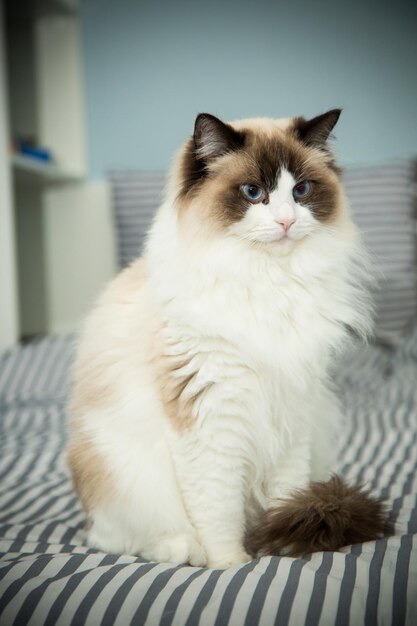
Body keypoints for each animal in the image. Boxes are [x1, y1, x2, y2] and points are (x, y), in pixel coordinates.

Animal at [69, 107, 386, 564]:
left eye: (302, 190)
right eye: (254, 193)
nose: (287, 221)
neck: (268, 281)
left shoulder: (291, 411)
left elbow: (287, 497)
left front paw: (281, 542)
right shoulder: (208, 417)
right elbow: (218, 510)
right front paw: (232, 564)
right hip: (121, 470)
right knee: (115, 538)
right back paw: (183, 551)